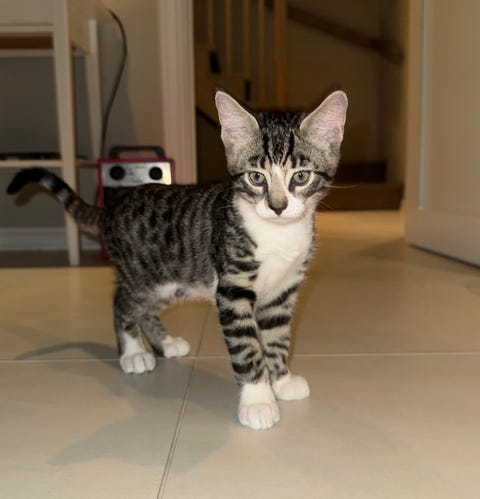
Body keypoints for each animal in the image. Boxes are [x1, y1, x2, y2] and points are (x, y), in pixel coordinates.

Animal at [7, 89, 348, 430]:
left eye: (300, 177)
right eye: (255, 177)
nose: (277, 206)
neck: (277, 233)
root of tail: (111, 208)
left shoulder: (283, 290)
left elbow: (277, 336)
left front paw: (281, 381)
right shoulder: (232, 289)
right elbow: (247, 345)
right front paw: (258, 401)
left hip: (172, 282)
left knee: (145, 309)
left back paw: (165, 343)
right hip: (143, 276)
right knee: (123, 302)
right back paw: (133, 352)